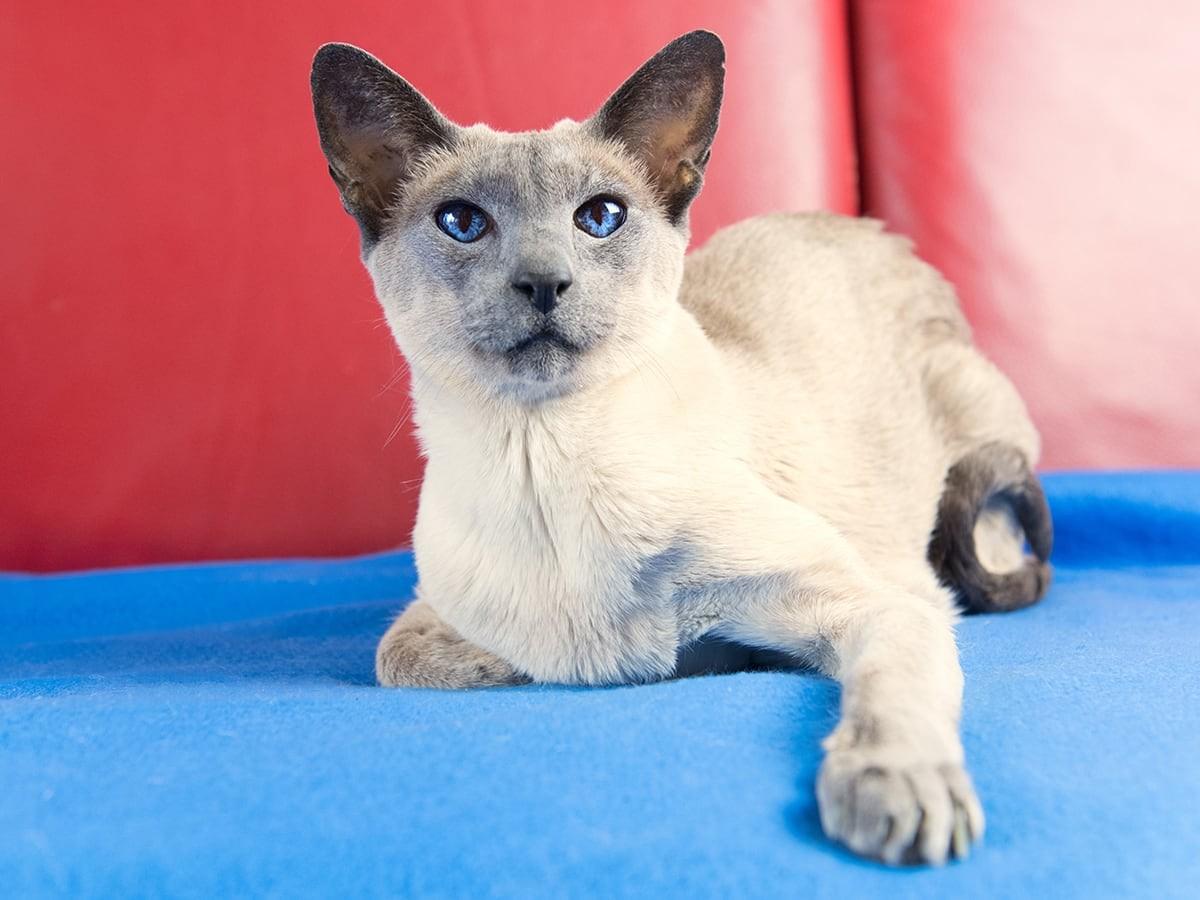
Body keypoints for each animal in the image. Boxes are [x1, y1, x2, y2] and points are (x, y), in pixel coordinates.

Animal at [309, 31, 1051, 868]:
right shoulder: (433, 617)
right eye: (462, 223)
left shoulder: (877, 604)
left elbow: (880, 696)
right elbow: (413, 657)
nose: (543, 283)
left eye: (601, 217)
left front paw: (893, 792)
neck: (544, 469)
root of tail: (880, 235)